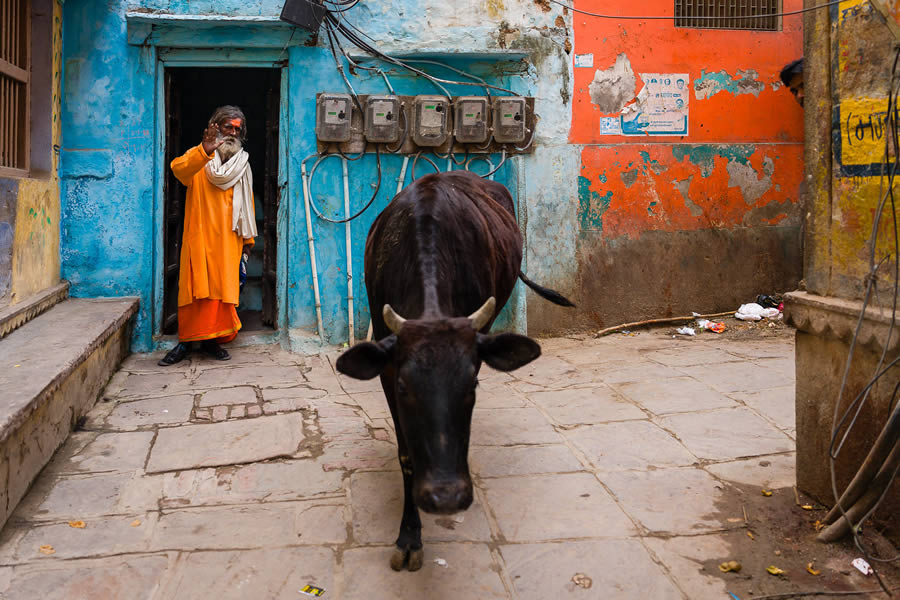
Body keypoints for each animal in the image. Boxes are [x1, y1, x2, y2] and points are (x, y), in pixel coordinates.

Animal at [334, 170, 572, 572]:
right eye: (404, 388)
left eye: (471, 386)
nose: (446, 497)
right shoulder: (386, 364)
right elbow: (406, 454)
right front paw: (409, 537)